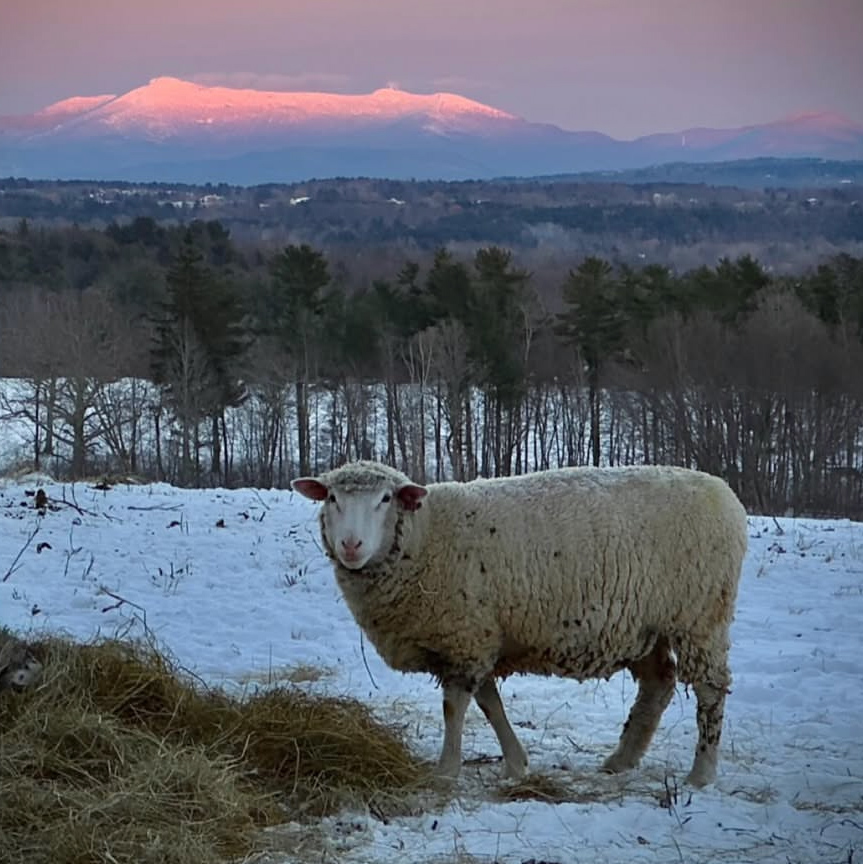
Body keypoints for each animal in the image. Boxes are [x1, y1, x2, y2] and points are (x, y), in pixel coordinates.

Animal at [292, 461, 747, 787]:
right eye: (331, 498)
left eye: (385, 499)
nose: (351, 545)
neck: (426, 535)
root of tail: (724, 492)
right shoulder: (480, 636)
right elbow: (489, 703)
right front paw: (515, 763)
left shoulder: (464, 639)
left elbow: (454, 708)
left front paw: (446, 770)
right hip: (642, 625)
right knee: (659, 683)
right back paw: (621, 760)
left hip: (700, 614)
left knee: (709, 690)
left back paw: (700, 774)